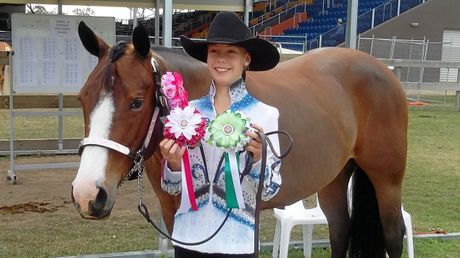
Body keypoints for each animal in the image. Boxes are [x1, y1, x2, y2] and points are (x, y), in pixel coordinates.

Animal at [71, 22, 406, 258]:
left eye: (137, 102)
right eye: (82, 98)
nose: (87, 194)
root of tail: (382, 70)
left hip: (387, 180)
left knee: (394, 234)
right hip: (334, 179)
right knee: (340, 230)